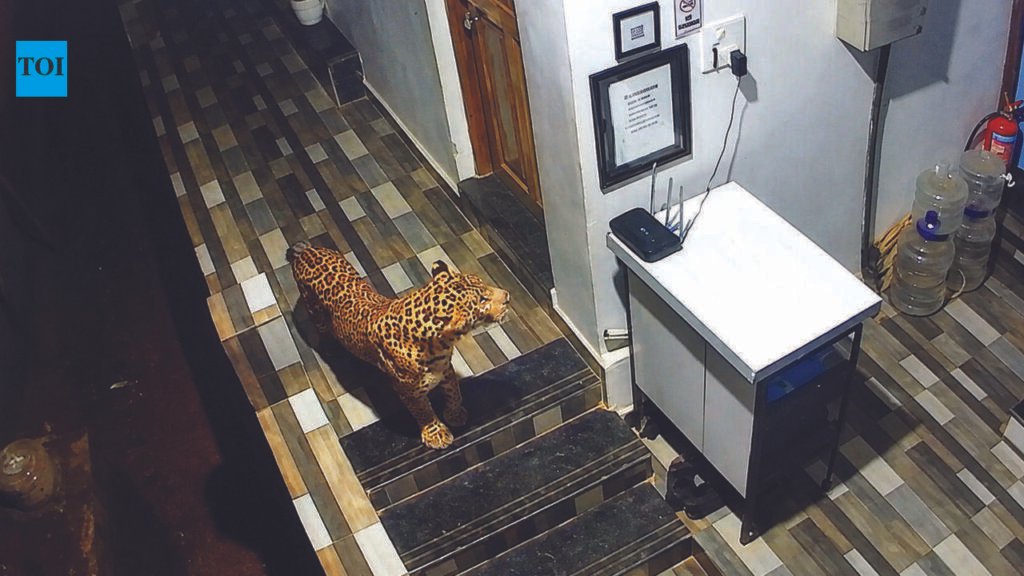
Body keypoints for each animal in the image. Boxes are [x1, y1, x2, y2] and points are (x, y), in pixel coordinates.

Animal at [287, 241, 510, 449]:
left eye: (483, 283)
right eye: (482, 300)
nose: (507, 296)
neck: (441, 345)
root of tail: (307, 250)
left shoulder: (446, 369)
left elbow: (454, 392)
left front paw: (455, 414)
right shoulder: (408, 391)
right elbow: (424, 411)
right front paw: (435, 433)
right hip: (314, 310)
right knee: (322, 329)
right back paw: (330, 348)